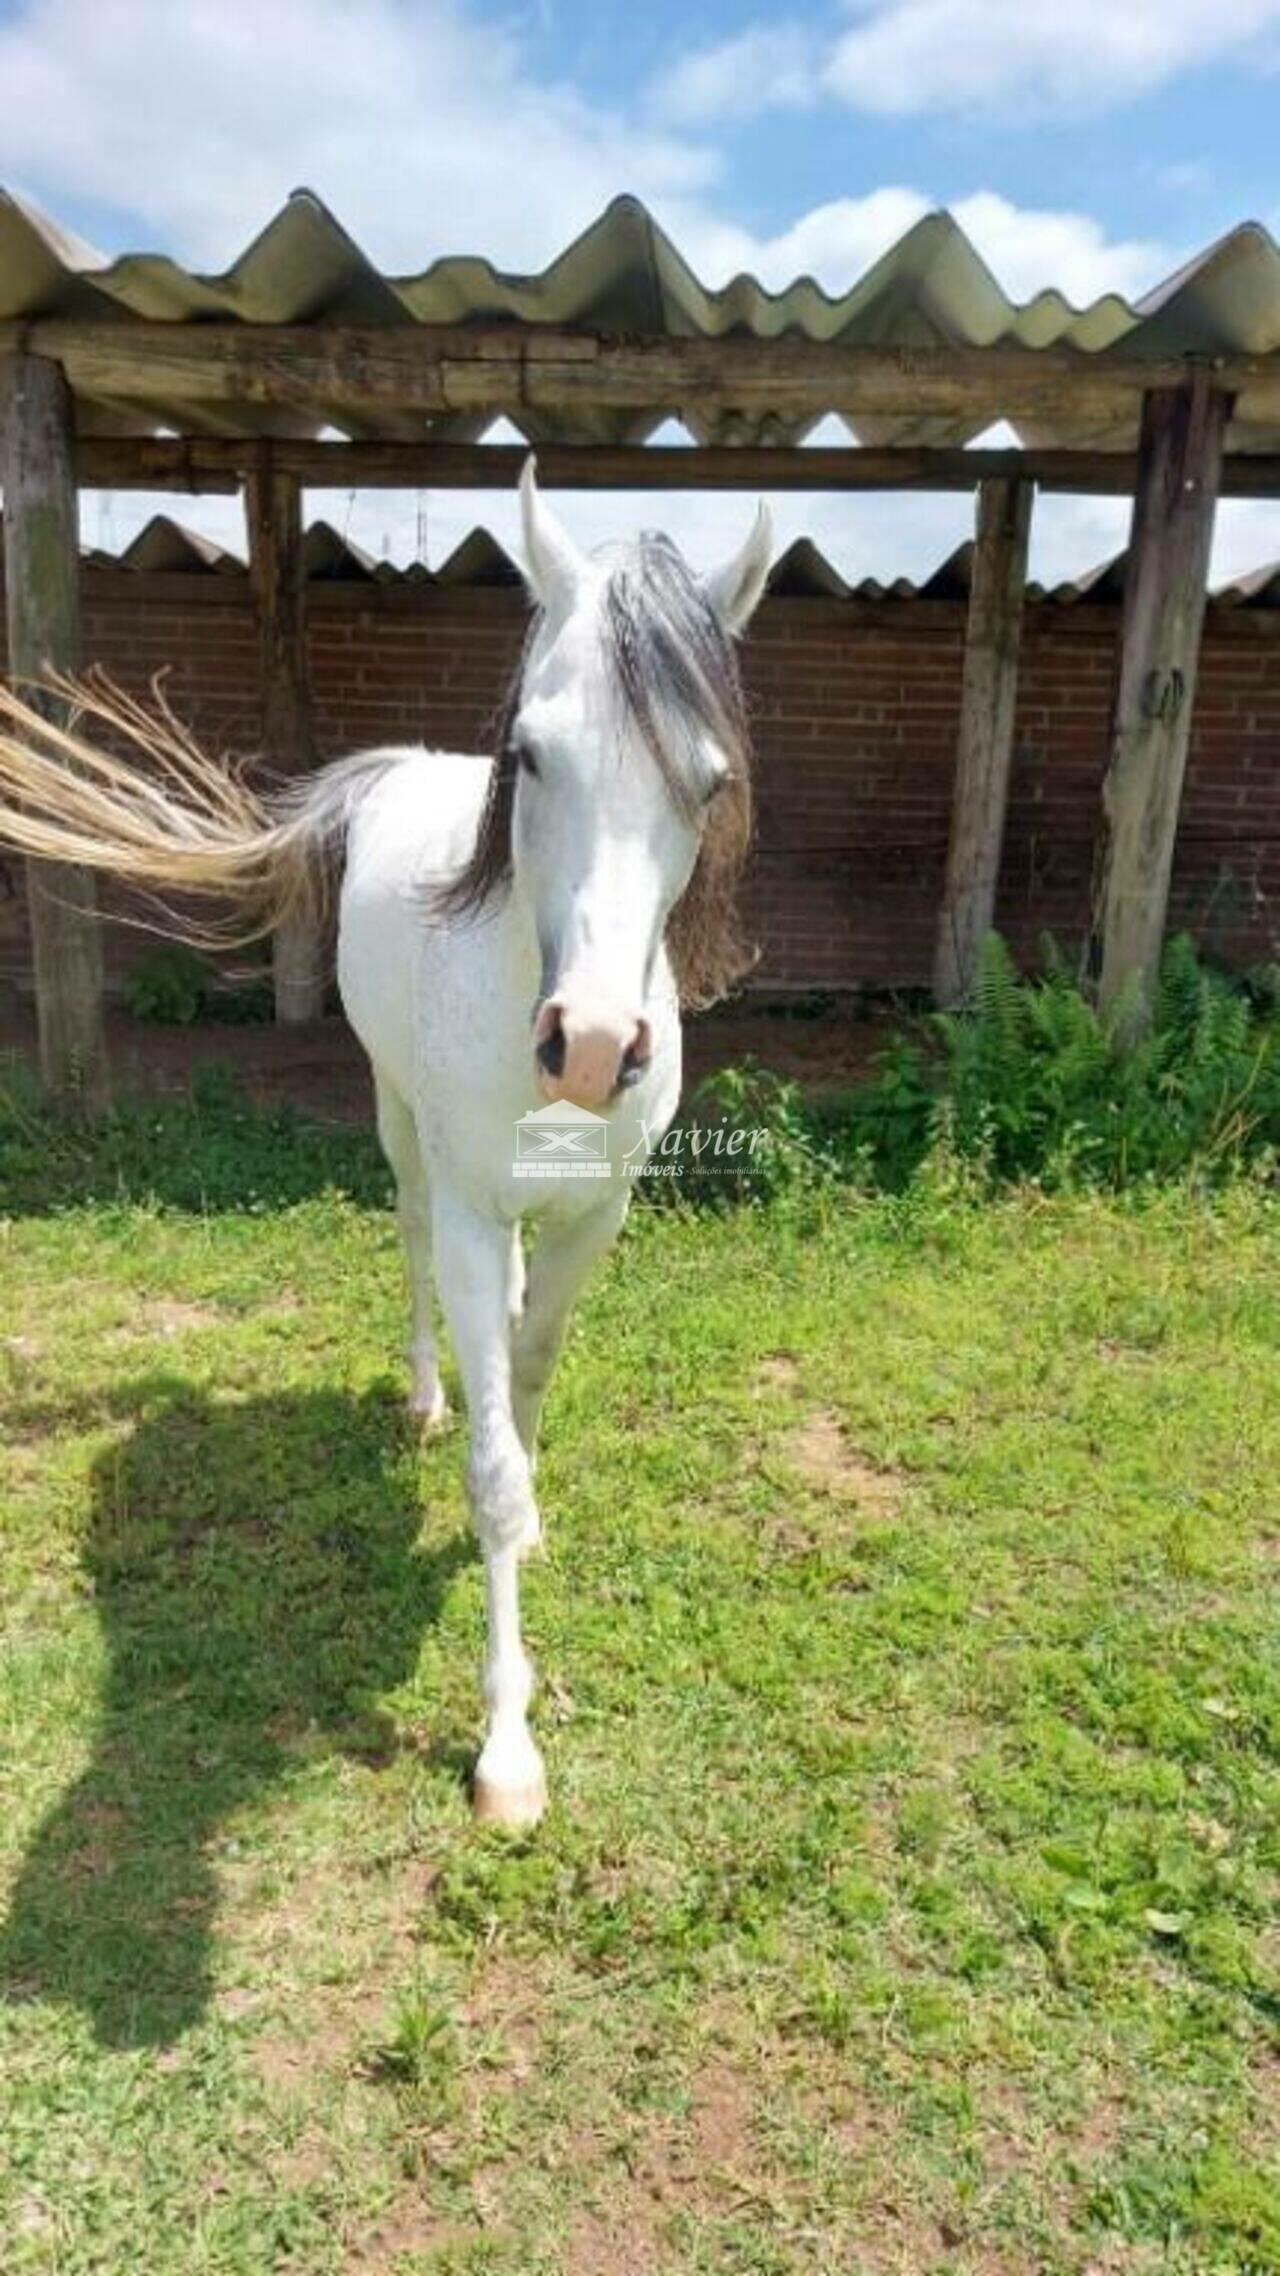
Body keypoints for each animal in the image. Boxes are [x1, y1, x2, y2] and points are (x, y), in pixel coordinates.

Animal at [0, 466, 765, 1829]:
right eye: (530, 752)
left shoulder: (592, 1218)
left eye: (710, 778)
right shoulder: (465, 1204)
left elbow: (529, 1380)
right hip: (398, 1125)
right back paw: (420, 1395)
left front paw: (526, 1497)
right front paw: (506, 1748)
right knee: (407, 1247)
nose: (589, 1047)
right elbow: (491, 1461)